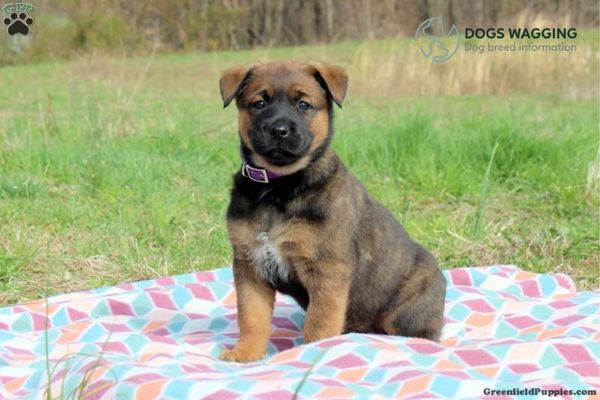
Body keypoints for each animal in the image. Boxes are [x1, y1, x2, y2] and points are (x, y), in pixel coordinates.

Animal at [219, 61, 446, 362]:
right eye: (259, 103)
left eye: (303, 104)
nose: (279, 129)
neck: (281, 186)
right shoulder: (250, 265)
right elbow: (251, 317)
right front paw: (245, 353)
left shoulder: (327, 270)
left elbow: (319, 324)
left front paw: (313, 353)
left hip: (406, 313)